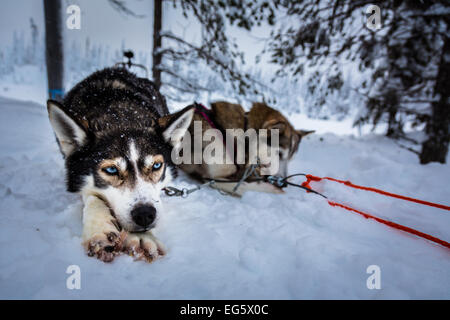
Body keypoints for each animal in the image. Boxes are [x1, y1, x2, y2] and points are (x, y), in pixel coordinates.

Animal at [47, 68, 193, 262]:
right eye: (111, 170)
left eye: (156, 166)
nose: (145, 214)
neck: (119, 114)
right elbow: (92, 196)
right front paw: (100, 228)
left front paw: (142, 237)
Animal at [179, 101, 312, 195]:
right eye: (279, 154)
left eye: (290, 160)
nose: (283, 183)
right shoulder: (210, 177)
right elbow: (244, 186)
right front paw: (273, 188)